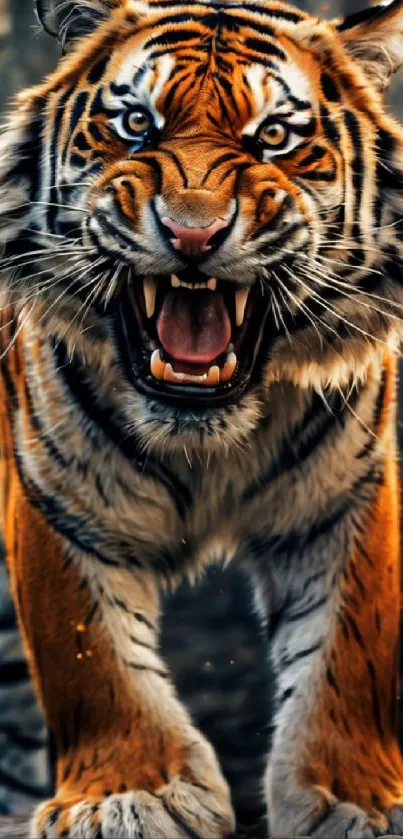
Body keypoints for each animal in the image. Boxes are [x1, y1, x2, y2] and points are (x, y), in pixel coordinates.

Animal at [2, 0, 403, 832]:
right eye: (136, 125)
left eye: (273, 137)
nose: (191, 232)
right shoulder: (55, 498)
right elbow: (89, 654)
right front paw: (131, 792)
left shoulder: (345, 495)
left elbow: (349, 647)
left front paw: (353, 799)